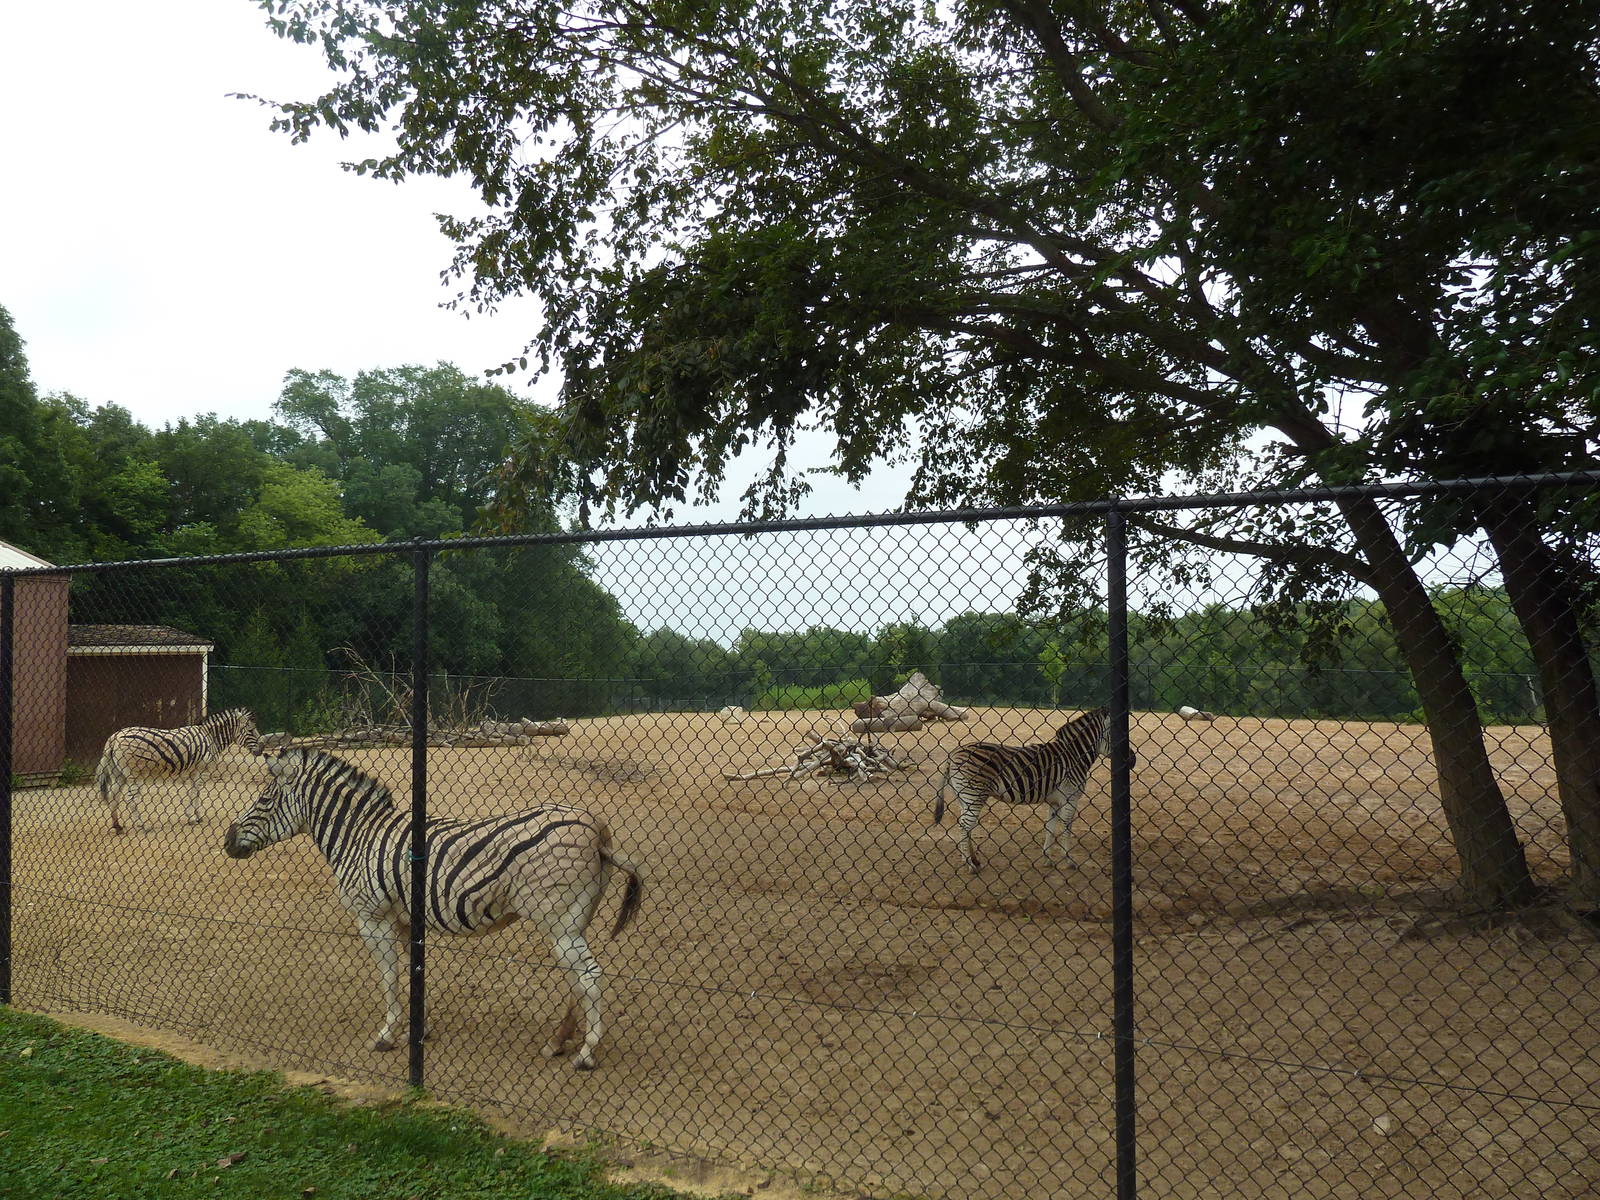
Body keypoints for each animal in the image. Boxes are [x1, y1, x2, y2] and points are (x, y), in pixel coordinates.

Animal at [96, 707, 262, 833]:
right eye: (251, 730)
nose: (261, 749)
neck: (211, 738)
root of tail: (114, 737)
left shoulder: (194, 770)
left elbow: (194, 791)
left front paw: (196, 816)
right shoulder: (201, 769)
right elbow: (195, 791)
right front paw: (193, 818)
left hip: (119, 774)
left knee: (114, 796)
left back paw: (117, 826)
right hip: (135, 774)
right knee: (130, 799)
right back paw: (142, 826)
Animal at [223, 748, 644, 1071]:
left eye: (263, 799)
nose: (227, 841)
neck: (360, 836)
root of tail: (597, 828)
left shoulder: (372, 917)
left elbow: (389, 976)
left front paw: (386, 1035)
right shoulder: (405, 918)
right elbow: (413, 974)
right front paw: (418, 1029)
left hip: (558, 920)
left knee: (589, 975)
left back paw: (586, 1054)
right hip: (572, 921)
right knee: (578, 979)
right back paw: (559, 1042)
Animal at [933, 706, 1120, 873]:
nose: (1126, 762)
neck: (1074, 755)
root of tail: (953, 754)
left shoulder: (1055, 801)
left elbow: (1050, 828)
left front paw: (1047, 858)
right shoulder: (1070, 797)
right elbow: (1066, 829)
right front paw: (1069, 860)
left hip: (965, 797)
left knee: (967, 827)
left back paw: (975, 861)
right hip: (973, 794)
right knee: (964, 826)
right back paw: (970, 865)